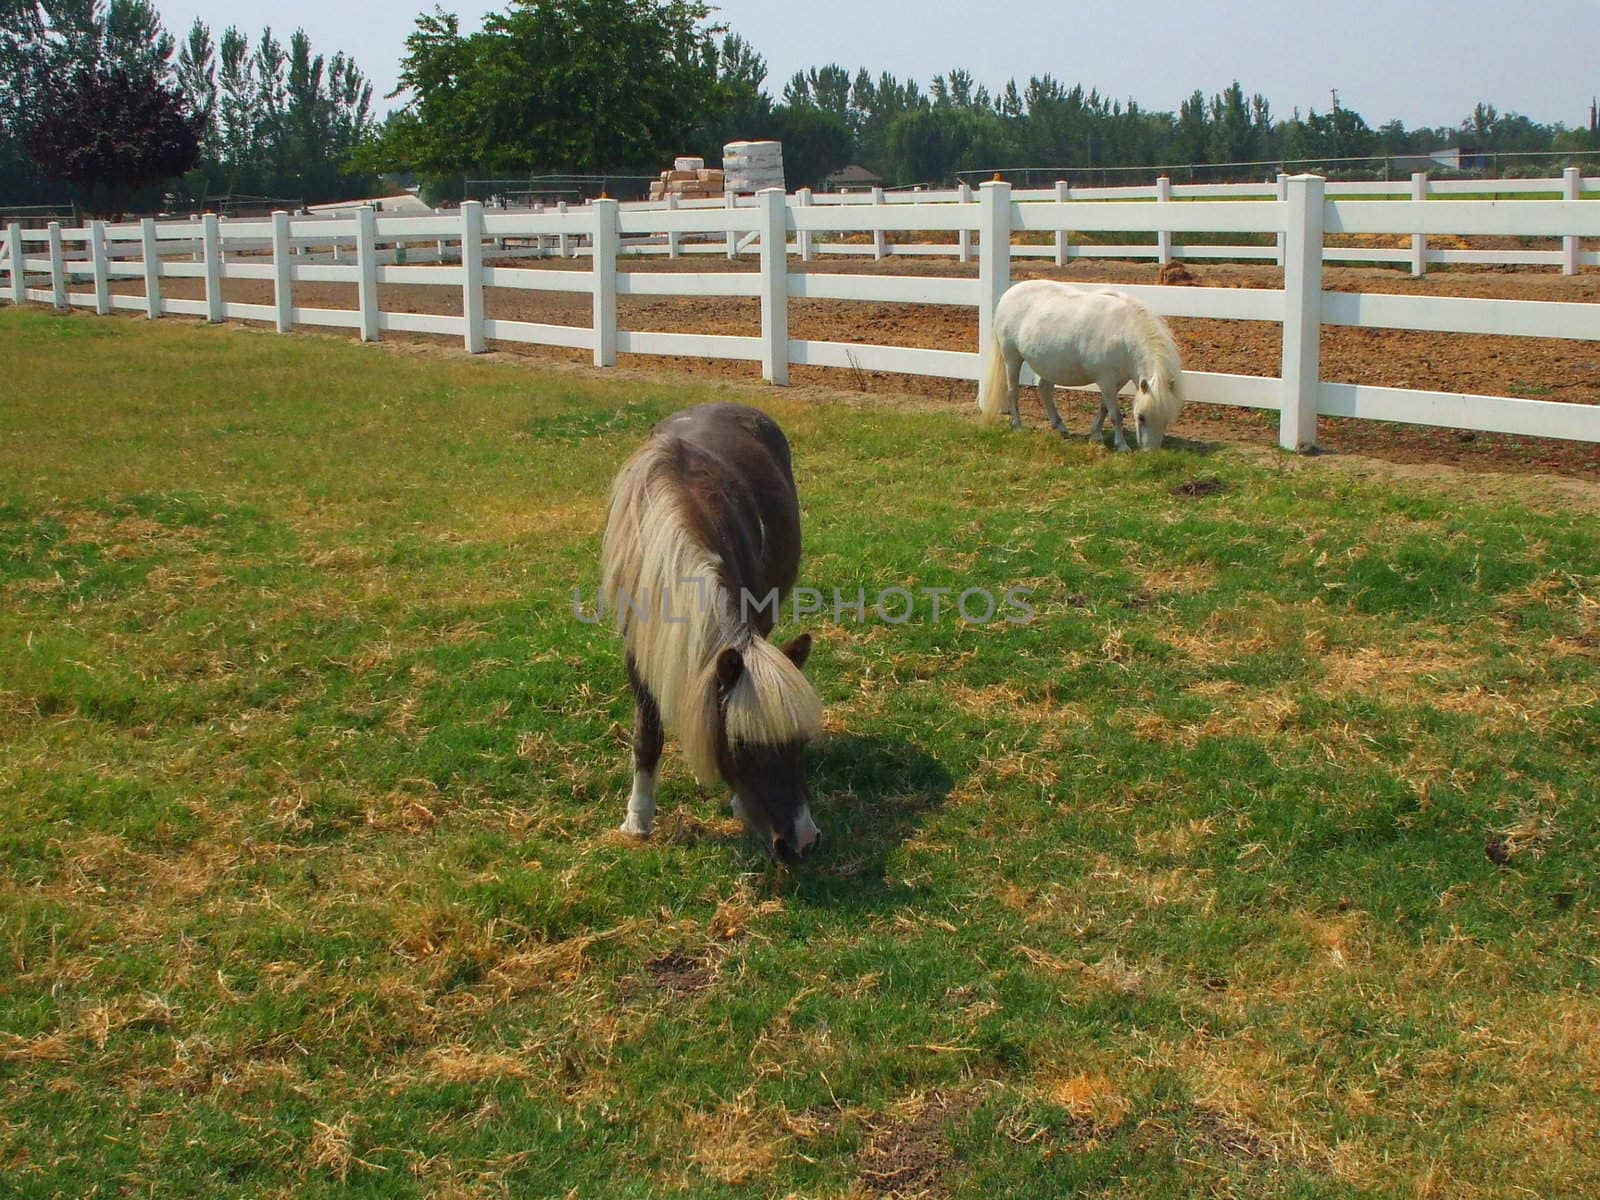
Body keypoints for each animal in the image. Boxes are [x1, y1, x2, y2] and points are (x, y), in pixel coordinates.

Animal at [601, 404, 825, 864]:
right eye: (740, 747)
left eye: (800, 744)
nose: (802, 843)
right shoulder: (639, 649)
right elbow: (647, 734)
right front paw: (637, 821)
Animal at [972, 281, 1190, 451]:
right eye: (1141, 417)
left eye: (1167, 419)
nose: (1149, 452)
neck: (1123, 332)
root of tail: (1008, 294)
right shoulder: (1106, 380)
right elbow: (1115, 414)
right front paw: (1121, 445)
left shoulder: (1117, 381)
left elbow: (1104, 408)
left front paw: (1096, 436)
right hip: (1012, 358)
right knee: (1012, 391)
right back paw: (1017, 426)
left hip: (1049, 364)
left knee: (1044, 390)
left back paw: (1060, 427)